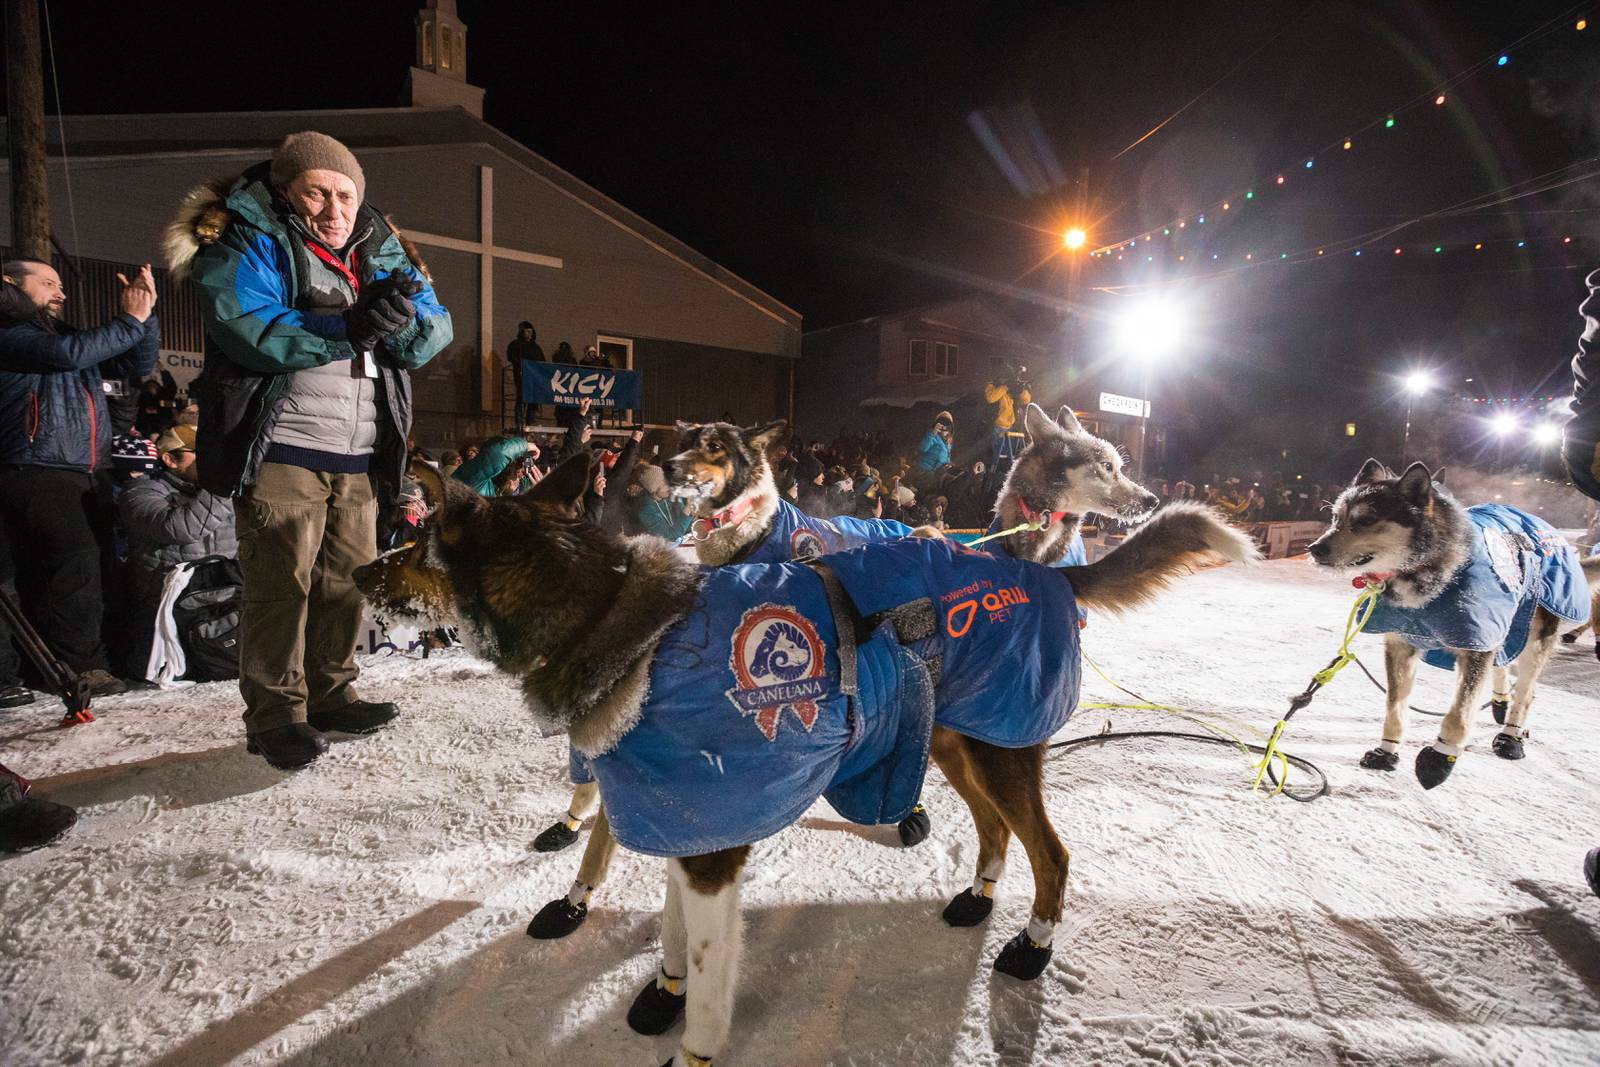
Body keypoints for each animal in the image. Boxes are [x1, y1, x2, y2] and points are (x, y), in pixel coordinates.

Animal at [356, 454, 1254, 1067]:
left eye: (418, 542)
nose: (362, 566)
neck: (618, 623)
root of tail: (1046, 574)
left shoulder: (711, 849)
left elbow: (710, 981)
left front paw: (694, 1045)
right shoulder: (686, 820)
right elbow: (674, 938)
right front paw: (663, 988)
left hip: (1002, 749)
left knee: (1054, 853)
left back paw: (1032, 944)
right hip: (956, 743)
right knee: (997, 831)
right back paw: (977, 895)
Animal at [1305, 463, 1593, 790]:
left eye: (1366, 520)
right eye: (1335, 517)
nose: (1315, 548)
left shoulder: (1475, 646)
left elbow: (1459, 713)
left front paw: (1441, 758)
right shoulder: (1402, 643)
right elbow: (1394, 704)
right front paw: (1387, 751)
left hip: (1535, 637)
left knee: (1526, 691)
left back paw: (1512, 735)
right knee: (1504, 664)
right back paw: (1501, 703)